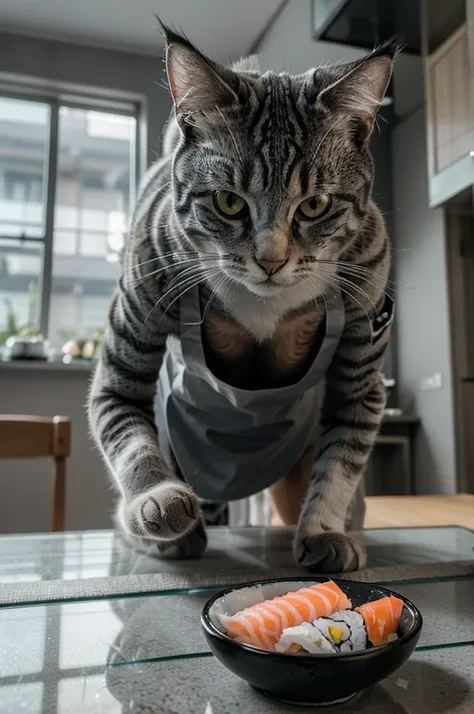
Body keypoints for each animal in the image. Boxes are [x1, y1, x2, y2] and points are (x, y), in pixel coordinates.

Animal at [88, 26, 396, 572]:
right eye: (229, 202)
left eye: (315, 205)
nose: (270, 260)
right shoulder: (127, 345)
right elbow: (124, 424)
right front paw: (156, 499)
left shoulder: (363, 371)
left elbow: (342, 460)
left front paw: (324, 530)